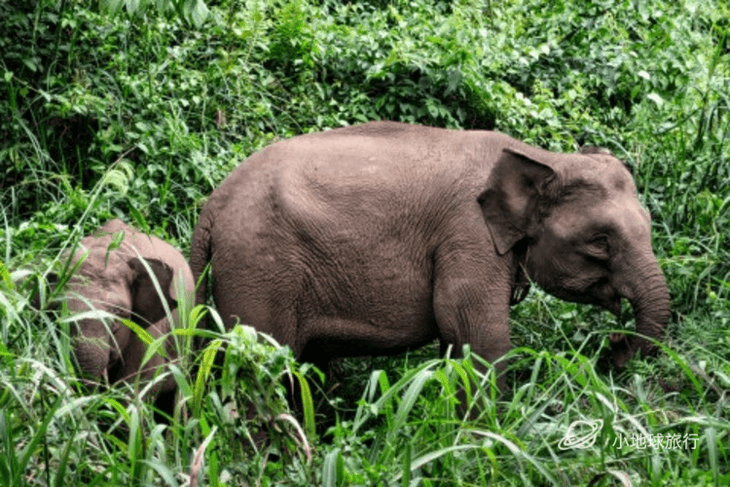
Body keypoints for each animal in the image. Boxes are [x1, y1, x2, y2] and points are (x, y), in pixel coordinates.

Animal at [189, 121, 672, 386]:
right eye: (600, 241)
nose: (612, 348)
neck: (540, 157)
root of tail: (211, 206)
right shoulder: (467, 234)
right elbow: (478, 335)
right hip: (260, 266)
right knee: (262, 362)